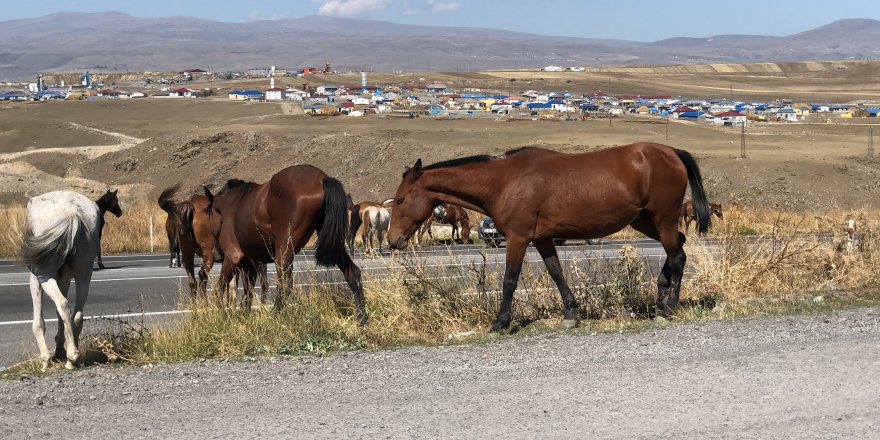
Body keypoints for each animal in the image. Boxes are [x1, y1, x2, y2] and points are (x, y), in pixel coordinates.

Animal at [20, 191, 101, 370]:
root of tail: (71, 210)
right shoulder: (64, 280)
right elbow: (60, 315)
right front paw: (58, 350)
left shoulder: (35, 279)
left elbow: (39, 322)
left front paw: (45, 360)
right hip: (84, 274)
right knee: (77, 314)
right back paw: (72, 359)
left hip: (45, 276)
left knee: (63, 305)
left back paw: (72, 356)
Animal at [205, 165, 366, 324]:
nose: (213, 253)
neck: (230, 206)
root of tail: (322, 179)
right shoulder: (251, 264)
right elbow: (247, 294)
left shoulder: (232, 258)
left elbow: (219, 290)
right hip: (331, 242)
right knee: (353, 273)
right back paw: (361, 318)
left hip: (284, 250)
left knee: (285, 285)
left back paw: (274, 318)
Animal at [388, 142, 712, 330]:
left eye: (401, 199)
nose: (393, 241)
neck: (503, 181)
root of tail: (671, 153)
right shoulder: (542, 239)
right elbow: (556, 273)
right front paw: (571, 314)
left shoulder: (518, 238)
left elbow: (510, 280)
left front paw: (501, 322)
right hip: (646, 220)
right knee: (678, 246)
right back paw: (661, 292)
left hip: (662, 218)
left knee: (678, 256)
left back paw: (668, 307)